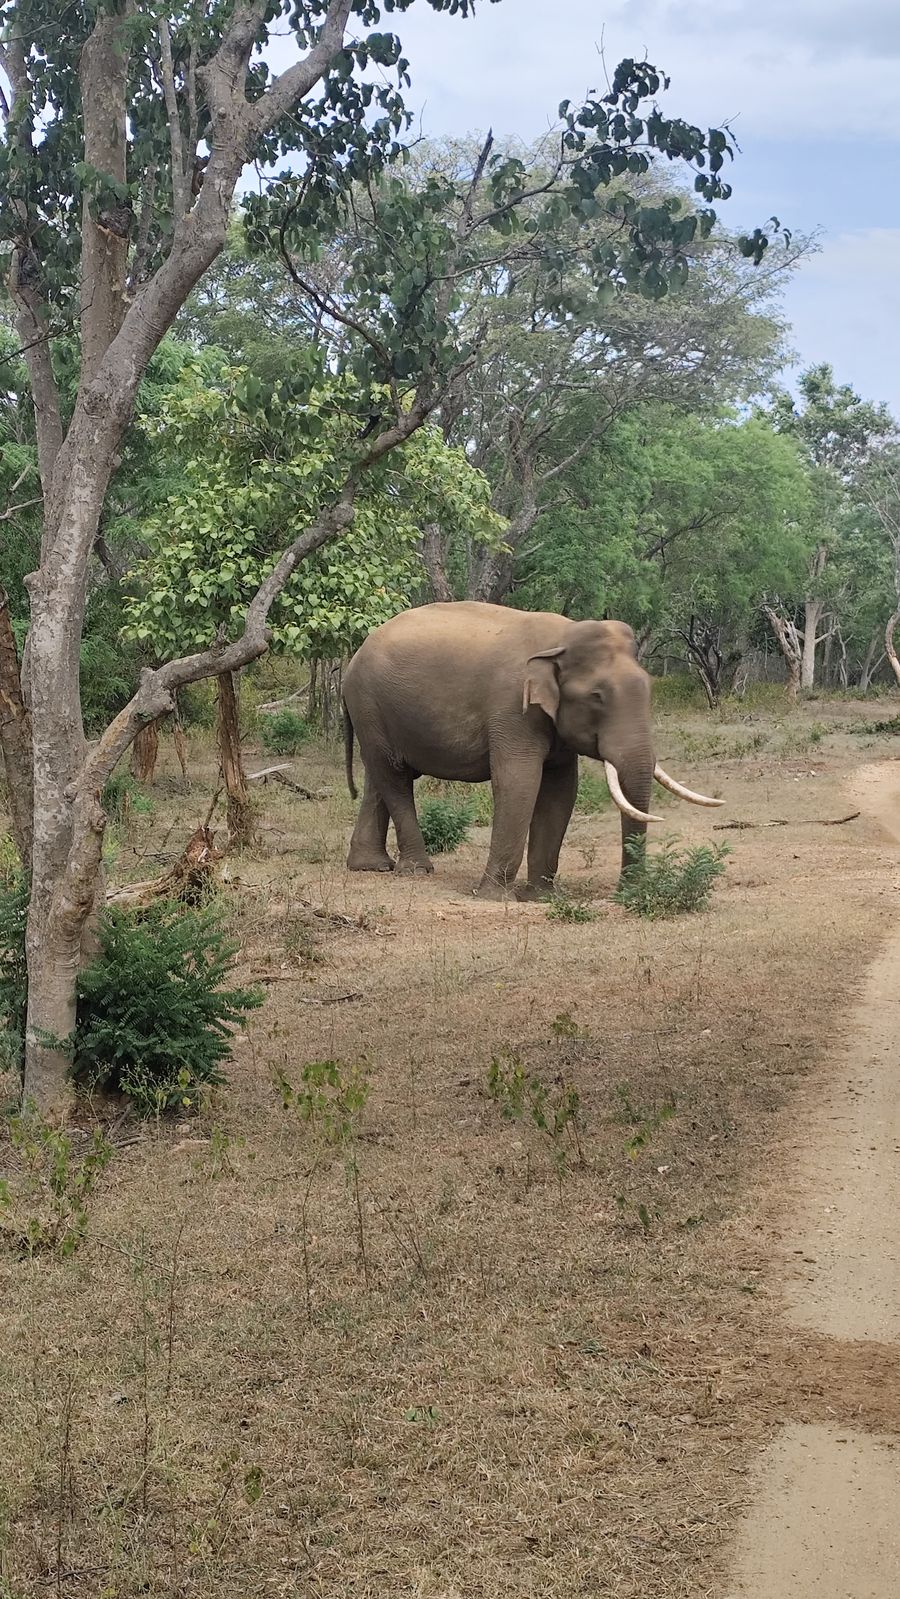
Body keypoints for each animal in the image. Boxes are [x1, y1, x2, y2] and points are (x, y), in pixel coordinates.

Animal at [341, 601, 722, 899]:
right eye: (597, 697)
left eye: (648, 687)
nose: (626, 892)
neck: (561, 637)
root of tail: (354, 658)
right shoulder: (512, 710)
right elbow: (518, 782)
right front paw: (493, 896)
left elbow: (561, 791)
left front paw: (540, 896)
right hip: (369, 704)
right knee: (393, 776)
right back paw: (416, 870)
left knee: (380, 777)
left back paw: (371, 867)